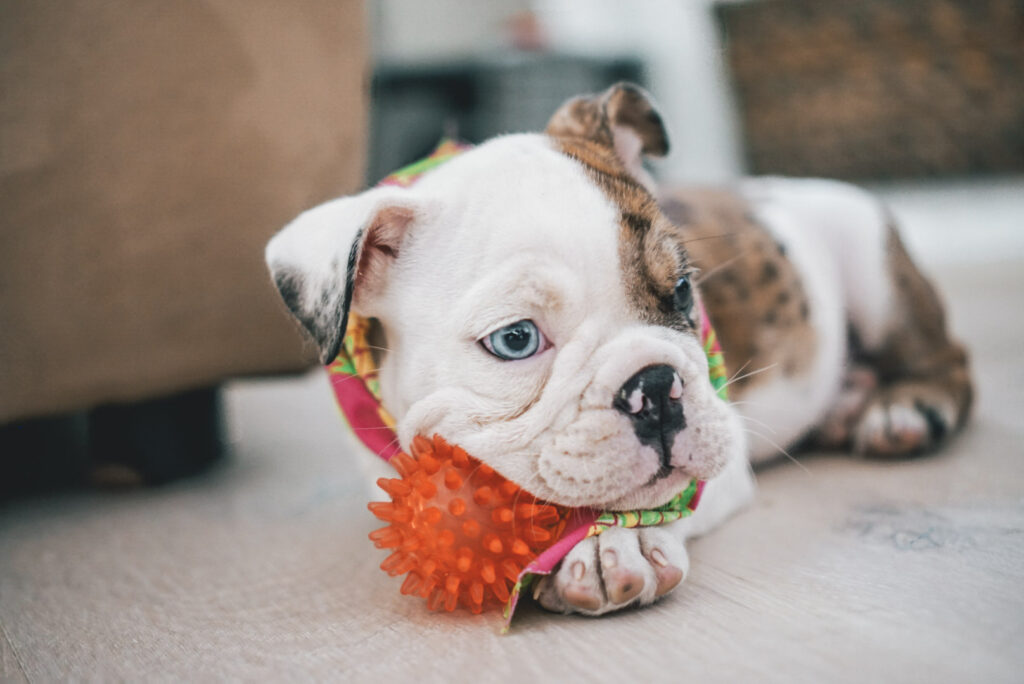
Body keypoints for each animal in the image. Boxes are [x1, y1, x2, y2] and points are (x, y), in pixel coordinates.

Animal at [268, 83, 970, 614]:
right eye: (516, 340)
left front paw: (608, 548)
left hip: (872, 264)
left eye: (683, 289)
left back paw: (900, 409)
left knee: (950, 360)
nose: (655, 387)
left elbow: (657, 499)